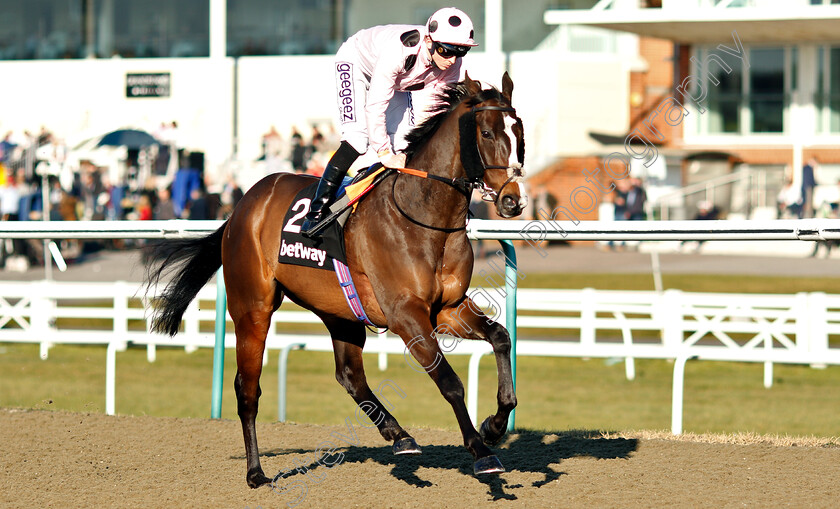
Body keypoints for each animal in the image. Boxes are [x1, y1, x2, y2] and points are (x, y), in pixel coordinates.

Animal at [144, 69, 524, 486]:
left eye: (519, 131)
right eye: (487, 132)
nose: (513, 199)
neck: (424, 216)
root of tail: (240, 207)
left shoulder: (448, 307)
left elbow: (501, 338)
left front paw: (495, 425)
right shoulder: (407, 315)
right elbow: (450, 381)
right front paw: (481, 451)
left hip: (339, 311)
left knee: (349, 376)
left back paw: (399, 435)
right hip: (252, 309)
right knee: (247, 389)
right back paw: (256, 472)